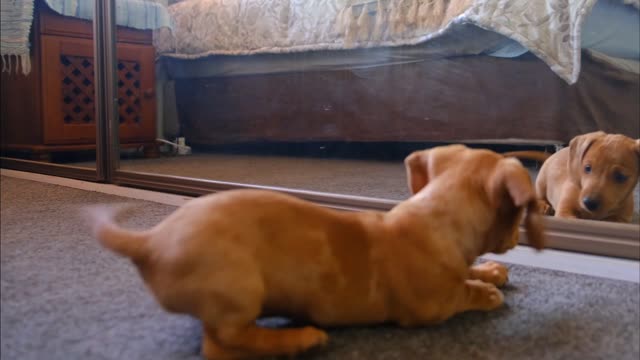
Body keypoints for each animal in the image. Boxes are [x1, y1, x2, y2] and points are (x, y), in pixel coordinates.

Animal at [90, 144, 544, 360]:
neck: (436, 216)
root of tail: (149, 240)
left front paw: (489, 271)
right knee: (221, 345)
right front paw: (486, 291)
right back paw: (297, 339)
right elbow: (462, 292)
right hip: (240, 291)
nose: (512, 242)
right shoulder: (431, 307)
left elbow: (468, 270)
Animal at [508, 132, 636, 222]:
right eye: (587, 168)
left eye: (621, 176)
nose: (589, 203)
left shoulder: (621, 219)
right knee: (539, 196)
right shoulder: (565, 211)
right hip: (541, 183)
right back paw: (542, 205)